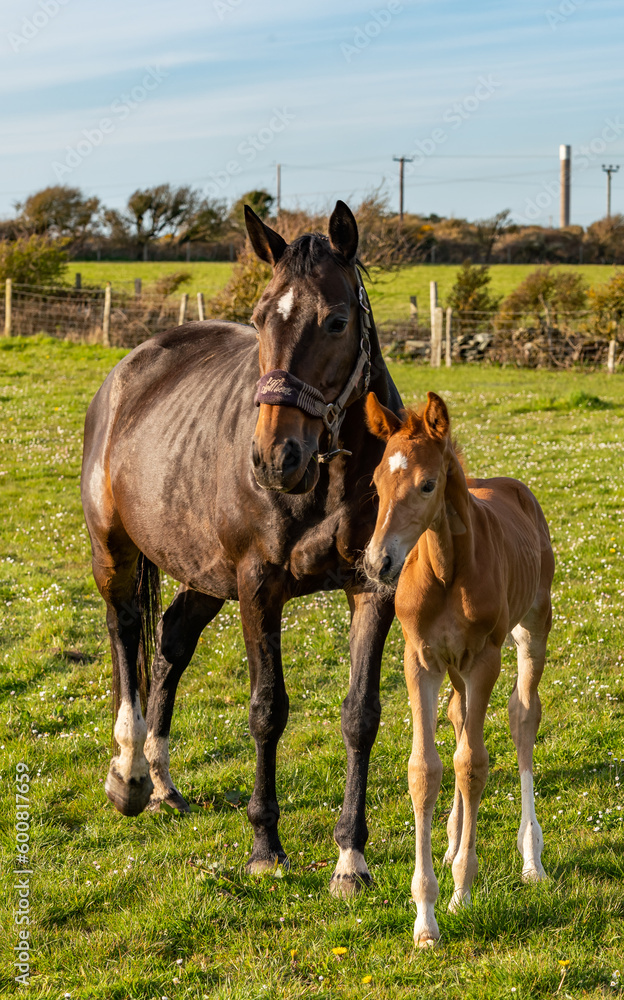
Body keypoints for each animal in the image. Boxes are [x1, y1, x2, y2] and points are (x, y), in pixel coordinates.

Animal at [80, 201, 402, 894]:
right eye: (258, 319)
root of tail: (127, 370)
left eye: (337, 321)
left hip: (203, 573)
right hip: (114, 552)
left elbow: (360, 715)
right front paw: (264, 846)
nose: (275, 458)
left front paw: (351, 856)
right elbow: (266, 710)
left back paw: (162, 781)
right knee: (125, 633)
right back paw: (129, 775)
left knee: (171, 640)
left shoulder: (373, 589)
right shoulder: (258, 587)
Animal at [362, 391, 554, 946]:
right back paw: (450, 843)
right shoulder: (420, 659)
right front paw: (425, 917)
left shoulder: (485, 657)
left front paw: (461, 893)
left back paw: (531, 858)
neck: (446, 568)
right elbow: (426, 769)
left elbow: (473, 765)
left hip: (532, 629)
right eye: (375, 483)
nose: (377, 563)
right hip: (455, 668)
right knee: (457, 715)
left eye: (428, 484)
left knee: (522, 717)